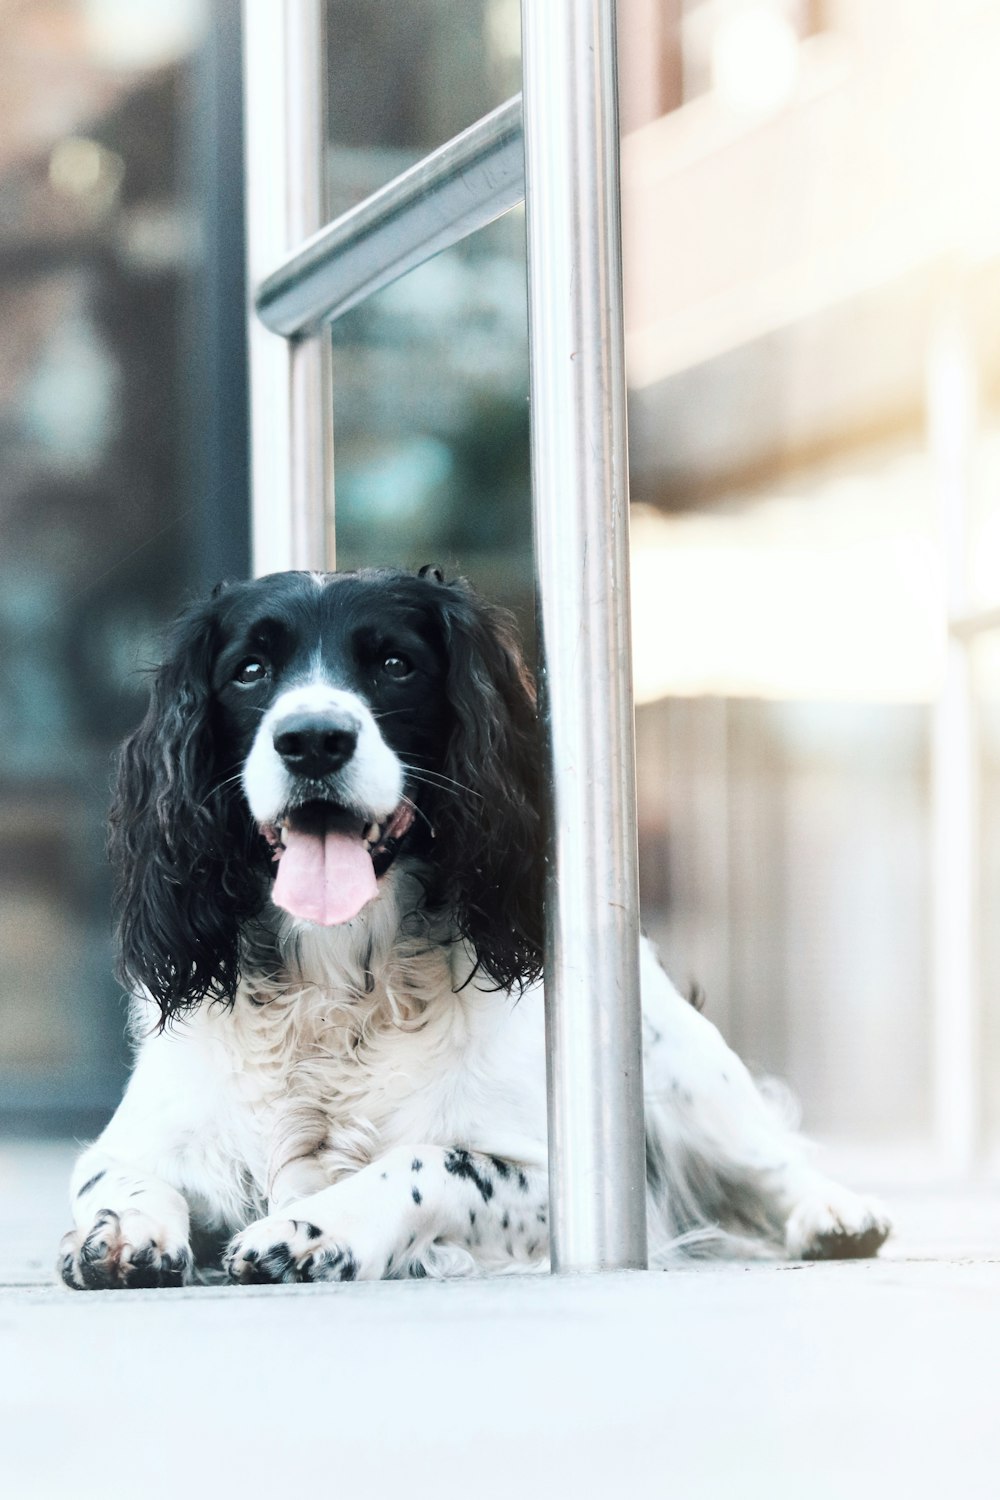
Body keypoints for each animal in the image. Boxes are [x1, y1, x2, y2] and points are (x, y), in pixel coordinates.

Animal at [60, 567, 893, 1284]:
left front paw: (313, 1230)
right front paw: (121, 1232)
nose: (314, 739)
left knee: (768, 1162)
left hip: (689, 1070)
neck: (337, 975)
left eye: (395, 663)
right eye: (250, 670)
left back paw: (835, 1213)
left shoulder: (553, 1179)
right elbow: (120, 1180)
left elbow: (428, 1163)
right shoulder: (141, 1141)